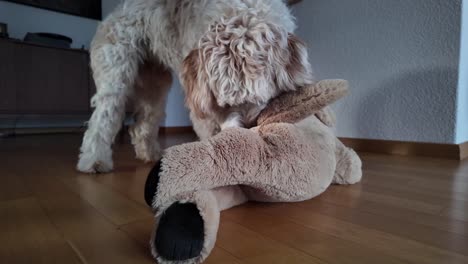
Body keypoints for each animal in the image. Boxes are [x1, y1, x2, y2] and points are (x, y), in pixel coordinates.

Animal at [77, 0, 310, 173]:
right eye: (223, 104)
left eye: (259, 98)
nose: (245, 132)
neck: (240, 14)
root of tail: (115, 11)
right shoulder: (201, 99)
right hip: (116, 75)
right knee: (102, 120)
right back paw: (94, 161)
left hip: (155, 84)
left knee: (142, 124)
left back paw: (150, 154)